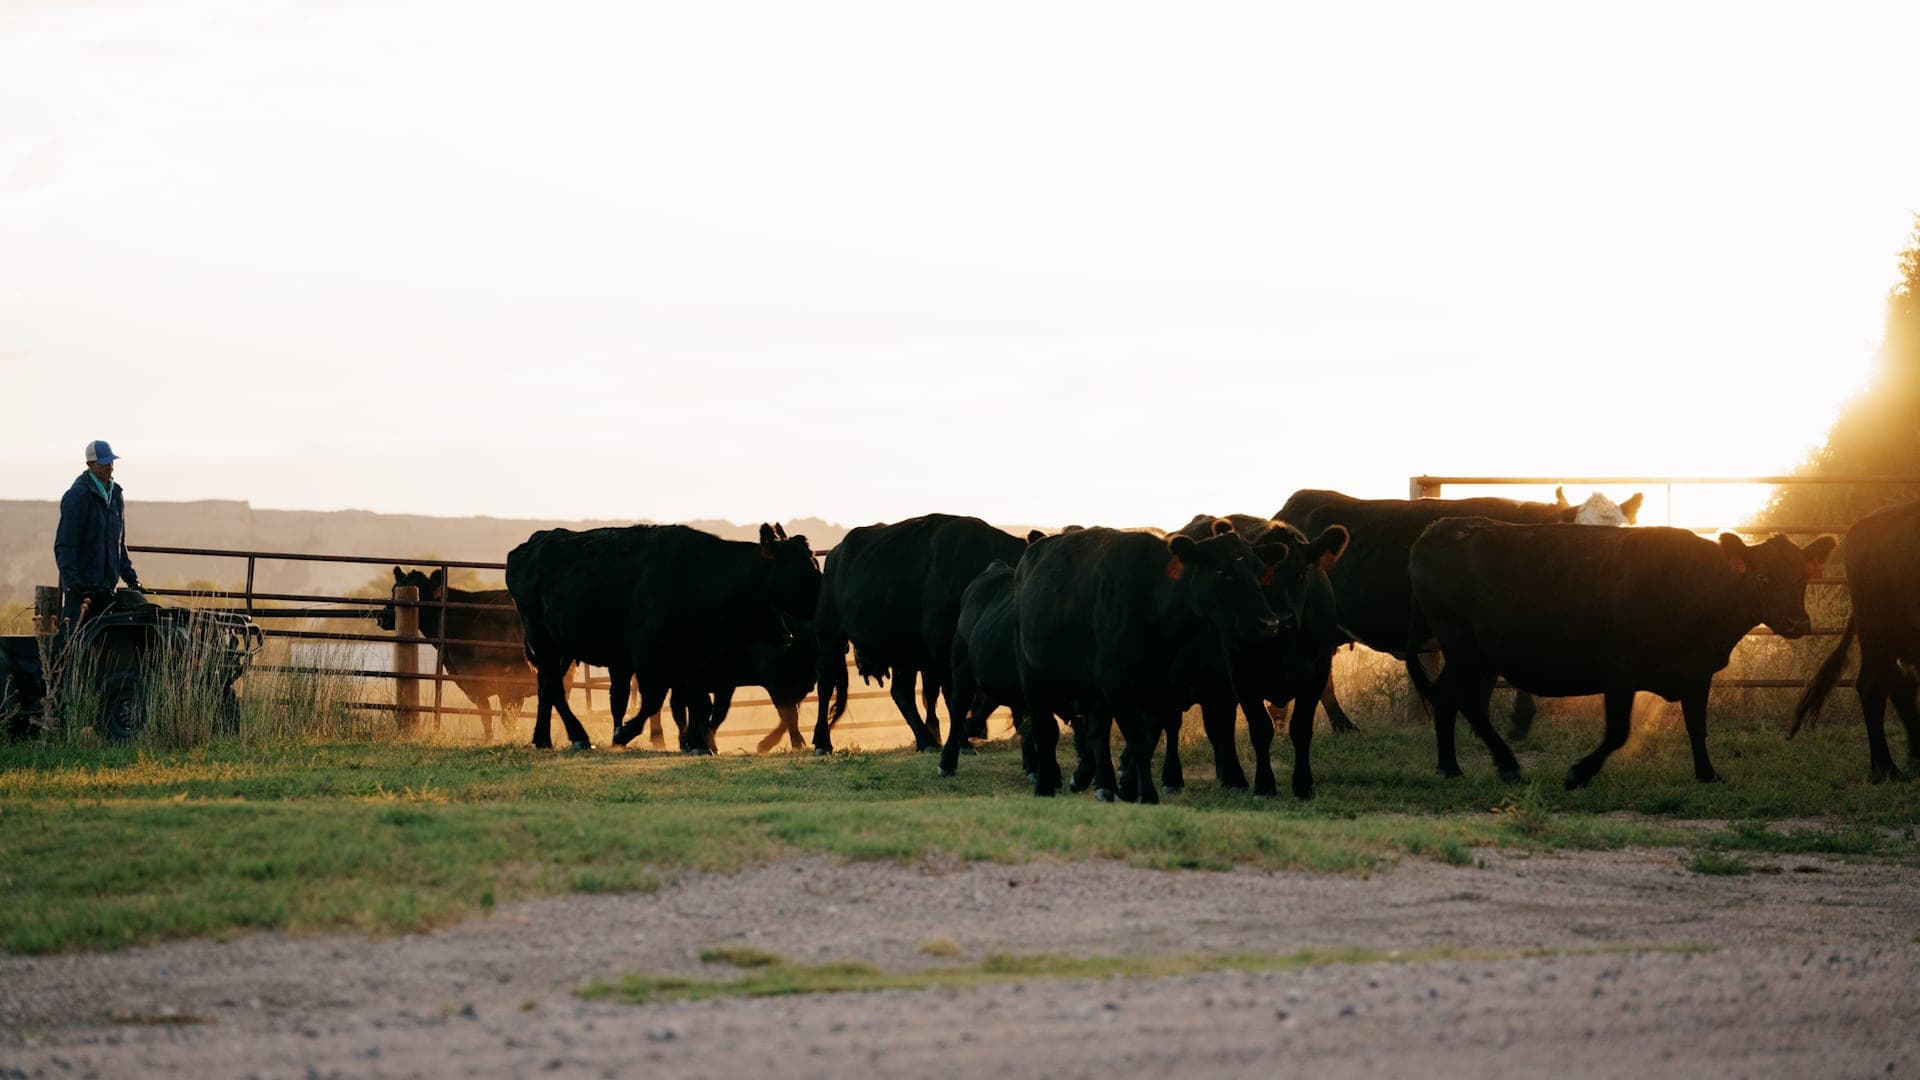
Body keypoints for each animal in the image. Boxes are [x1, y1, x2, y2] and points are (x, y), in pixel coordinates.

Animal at [376, 567, 533, 743]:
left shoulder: (509, 685)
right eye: (393, 590)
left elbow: (506, 720)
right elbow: (487, 718)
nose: (381, 617)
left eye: (420, 593)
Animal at [505, 522, 820, 752]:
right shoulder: (647, 652)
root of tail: (531, 545)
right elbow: (655, 701)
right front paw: (624, 734)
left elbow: (698, 703)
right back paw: (579, 736)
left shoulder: (695, 661)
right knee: (553, 686)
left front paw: (699, 743)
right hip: (543, 639)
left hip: (561, 648)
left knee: (547, 686)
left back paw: (542, 739)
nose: (821, 601)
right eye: (802, 567)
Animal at [811, 514, 1029, 755]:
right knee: (825, 683)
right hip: (830, 635)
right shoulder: (941, 645)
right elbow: (955, 694)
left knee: (901, 693)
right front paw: (963, 741)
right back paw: (822, 742)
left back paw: (927, 740)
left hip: (903, 649)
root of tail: (836, 553)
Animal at [1015, 523, 1286, 805]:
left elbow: (1150, 736)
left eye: (1260, 573)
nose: (1269, 623)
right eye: (1223, 572)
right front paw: (1146, 794)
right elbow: (1139, 740)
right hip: (1031, 676)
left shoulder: (1162, 689)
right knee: (1045, 731)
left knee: (1097, 735)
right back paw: (1045, 785)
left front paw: (1132, 787)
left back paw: (1105, 786)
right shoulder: (1117, 685)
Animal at [1408, 518, 1836, 787]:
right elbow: (1617, 732)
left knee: (1450, 697)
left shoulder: (1697, 672)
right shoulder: (1620, 670)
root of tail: (1438, 528)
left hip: (1478, 656)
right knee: (1465, 700)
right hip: (1464, 647)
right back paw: (1505, 764)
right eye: (1763, 577)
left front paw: (1708, 774)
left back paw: (1451, 766)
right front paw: (1579, 773)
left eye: (1803, 576)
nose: (1798, 622)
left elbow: (1697, 726)